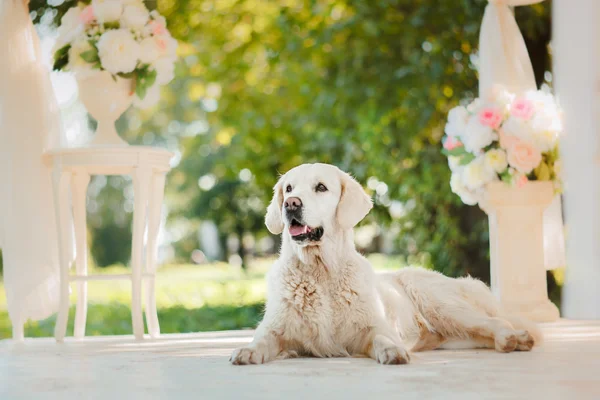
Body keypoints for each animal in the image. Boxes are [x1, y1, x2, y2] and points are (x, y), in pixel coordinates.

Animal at [230, 162, 540, 366]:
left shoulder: (373, 326)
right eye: (289, 188)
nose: (291, 204)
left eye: (320, 187)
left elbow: (381, 338)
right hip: (457, 335)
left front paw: (392, 351)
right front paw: (247, 351)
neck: (321, 272)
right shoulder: (276, 329)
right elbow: (262, 339)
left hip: (442, 304)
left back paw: (514, 338)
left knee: (495, 320)